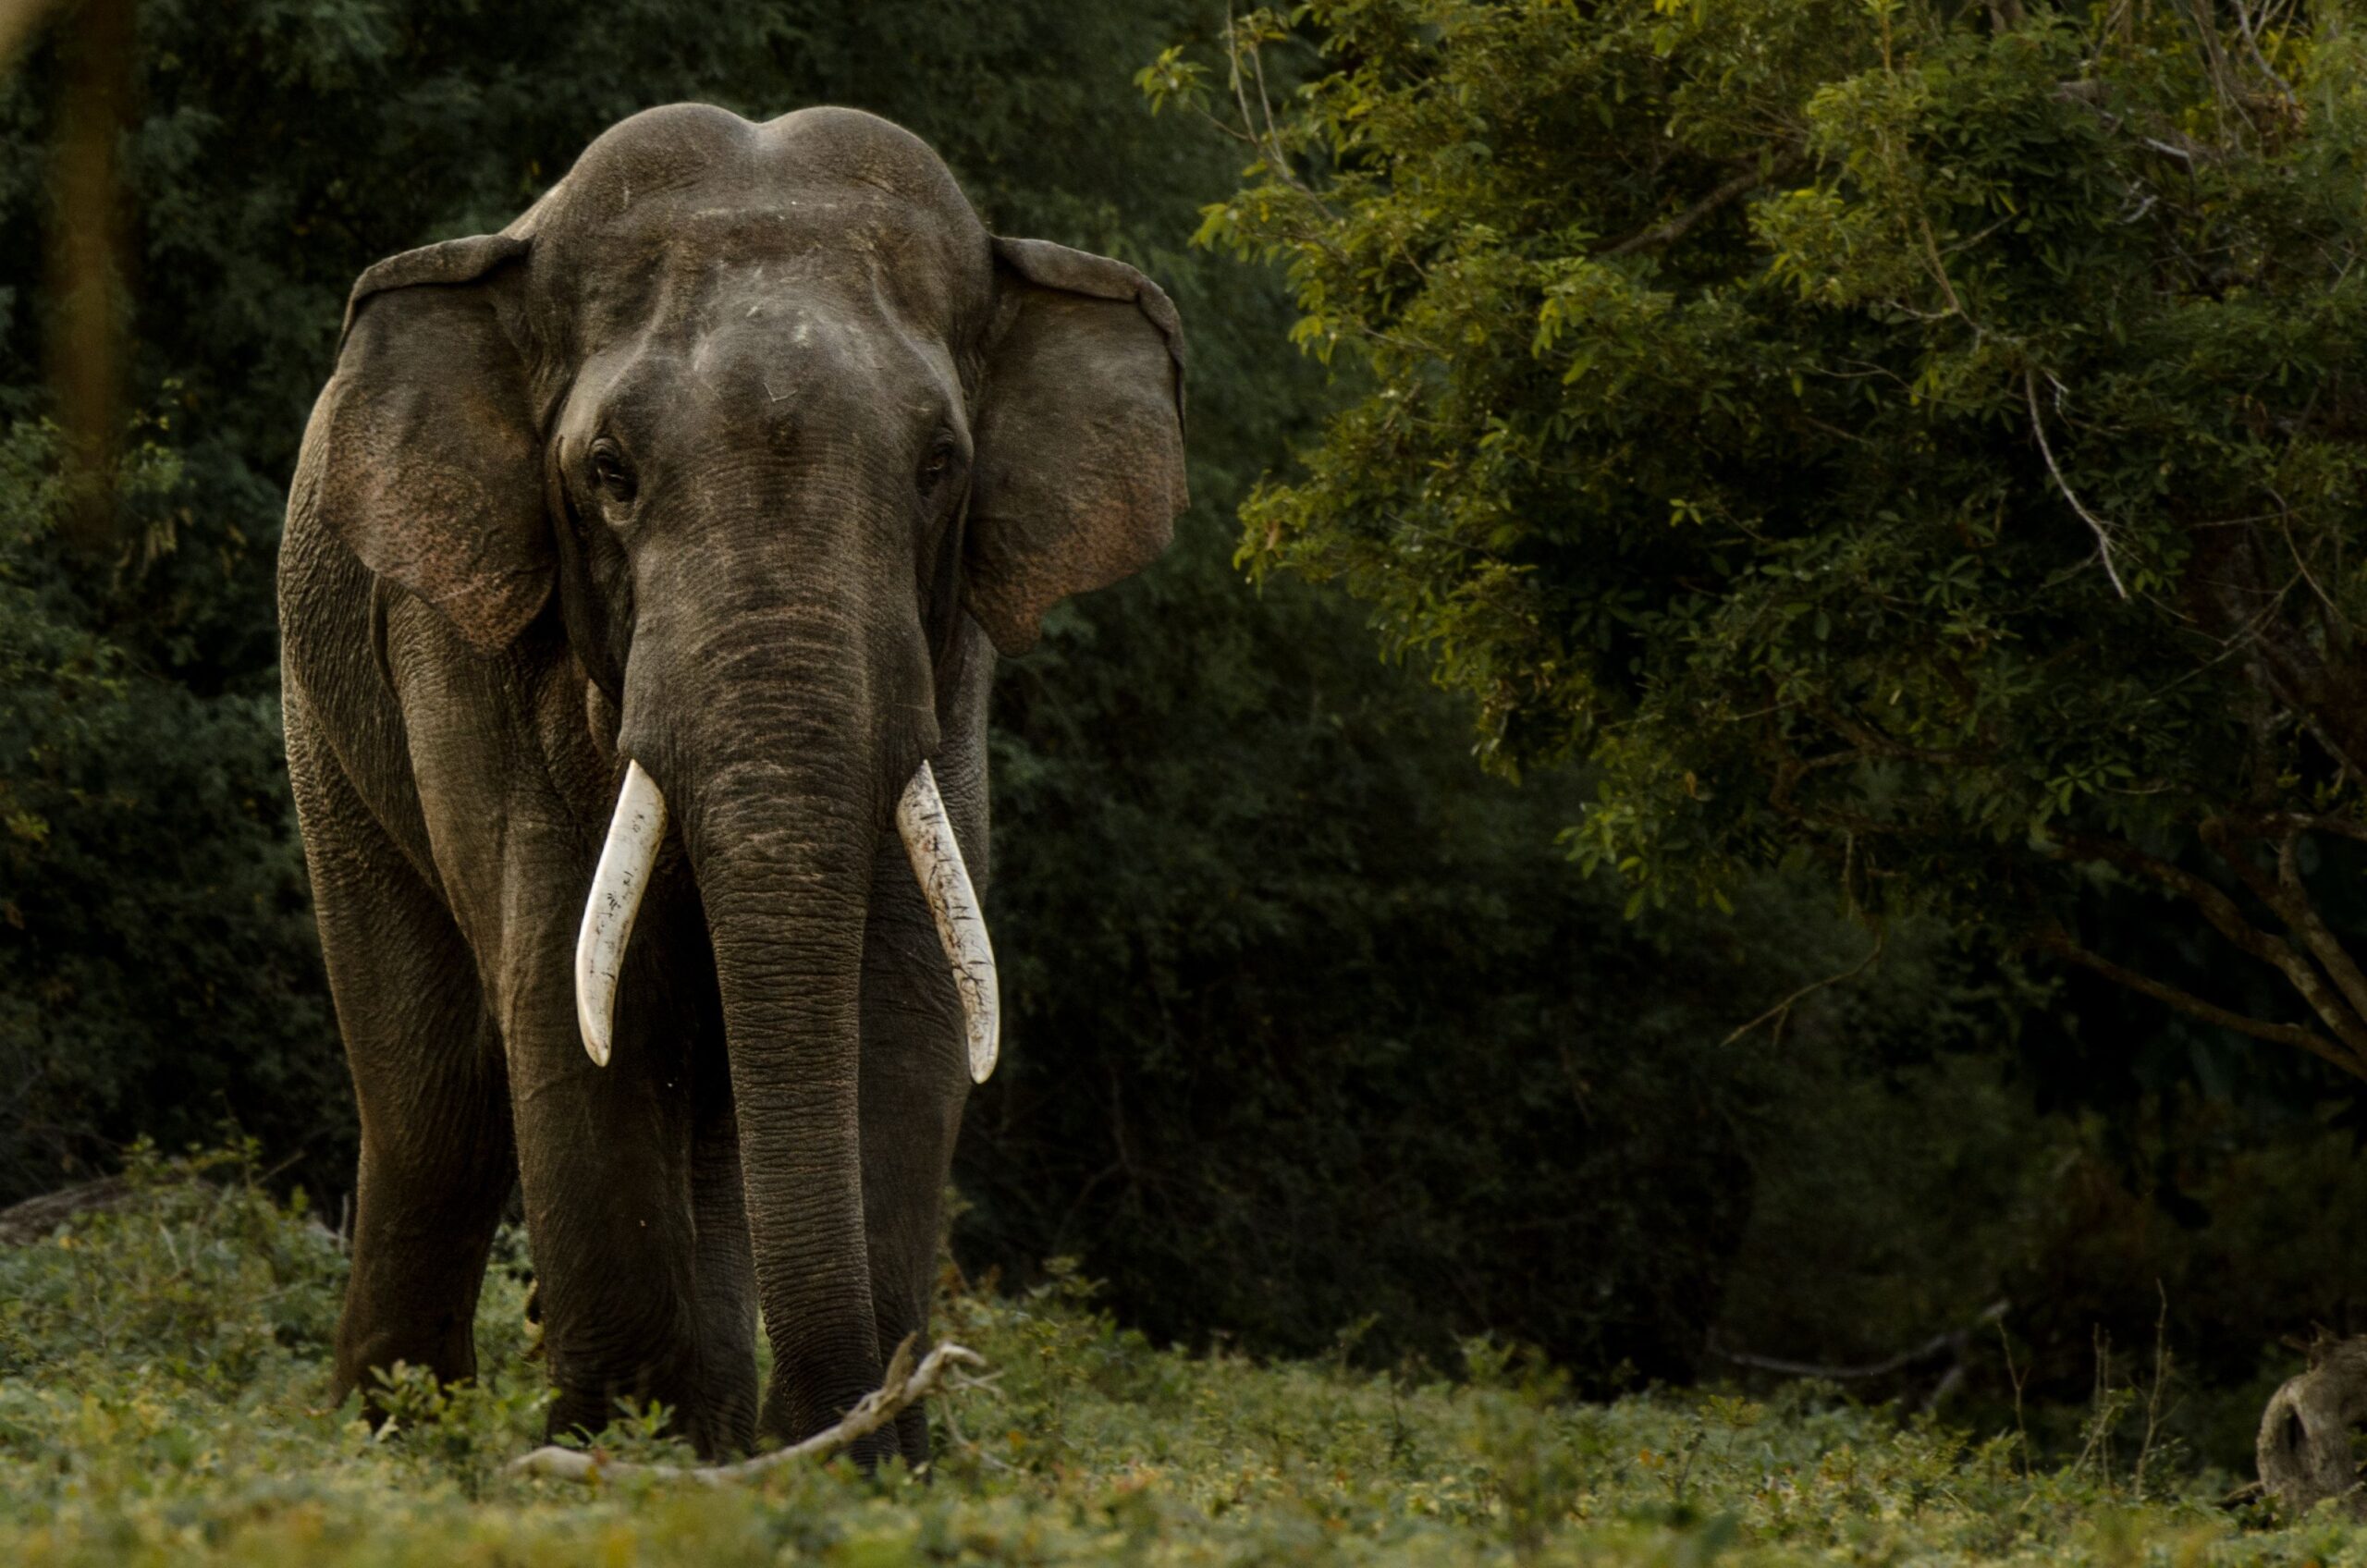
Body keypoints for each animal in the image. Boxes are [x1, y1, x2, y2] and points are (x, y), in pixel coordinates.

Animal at [274, 104, 1184, 1468]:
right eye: (607, 471)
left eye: (939, 465)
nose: (853, 1415)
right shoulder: (471, 645)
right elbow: (576, 996)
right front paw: (609, 1456)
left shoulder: (950, 657)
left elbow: (909, 999)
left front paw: (860, 1470)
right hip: (325, 726)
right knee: (438, 1106)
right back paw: (398, 1438)